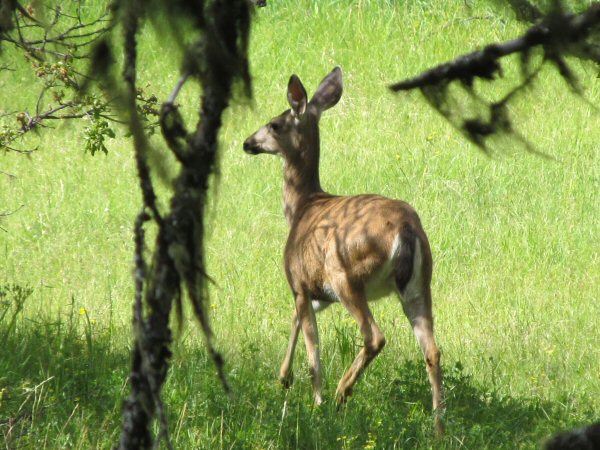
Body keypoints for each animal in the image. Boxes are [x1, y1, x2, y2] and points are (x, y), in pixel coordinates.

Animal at [244, 67, 446, 436]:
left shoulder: (299, 282)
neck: (302, 206)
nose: (247, 143)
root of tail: (407, 229)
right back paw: (439, 426)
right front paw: (283, 377)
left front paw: (315, 402)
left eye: (274, 124)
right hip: (419, 284)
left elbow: (313, 353)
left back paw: (341, 393)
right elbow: (295, 322)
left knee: (374, 336)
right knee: (433, 350)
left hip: (347, 275)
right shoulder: (319, 294)